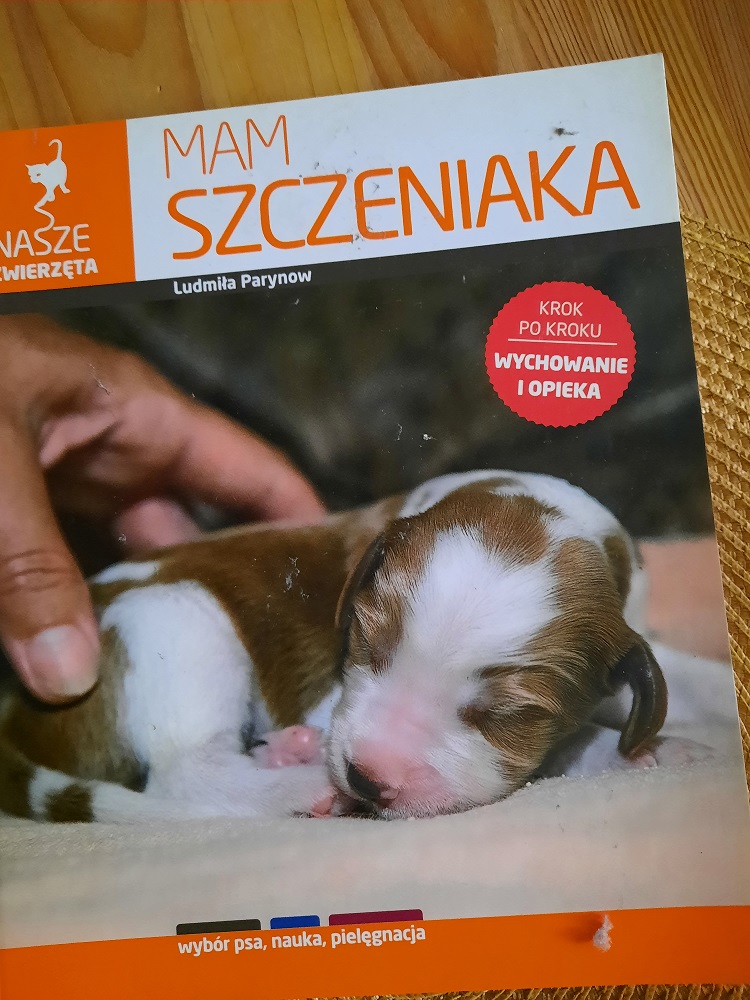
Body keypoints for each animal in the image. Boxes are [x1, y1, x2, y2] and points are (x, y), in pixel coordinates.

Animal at [0, 470, 688, 824]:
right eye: (365, 641)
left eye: (509, 715)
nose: (365, 779)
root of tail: (18, 708)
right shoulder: (327, 694)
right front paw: (634, 750)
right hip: (176, 617)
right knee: (186, 774)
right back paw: (298, 784)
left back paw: (286, 753)